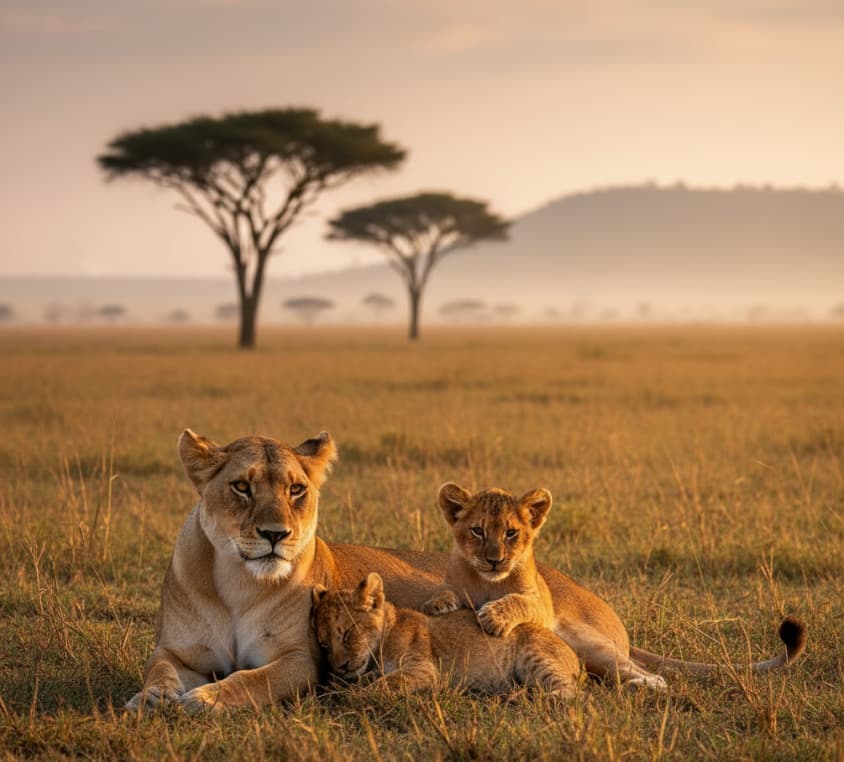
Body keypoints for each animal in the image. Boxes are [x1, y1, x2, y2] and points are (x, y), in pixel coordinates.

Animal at [312, 573, 581, 698]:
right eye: (323, 645)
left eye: (347, 632)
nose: (340, 666)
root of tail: (576, 657)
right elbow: (373, 679)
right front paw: (340, 686)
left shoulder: (423, 669)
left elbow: (385, 684)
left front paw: (351, 695)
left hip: (535, 656)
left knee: (571, 693)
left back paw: (529, 698)